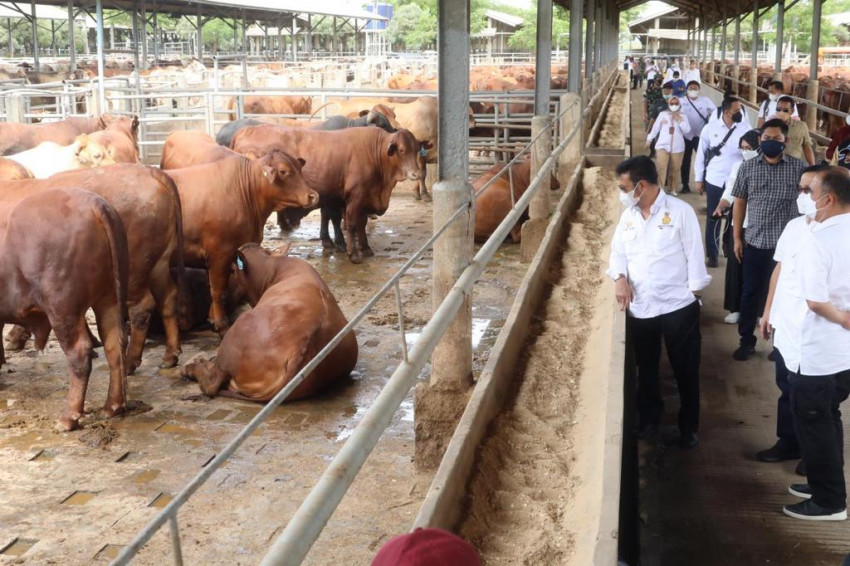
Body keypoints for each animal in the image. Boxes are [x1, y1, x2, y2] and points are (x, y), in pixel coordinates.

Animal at [3, 165, 183, 372]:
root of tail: (150, 171)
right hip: (157, 264)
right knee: (168, 297)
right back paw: (170, 355)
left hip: (132, 269)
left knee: (142, 307)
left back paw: (130, 361)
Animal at [164, 153, 316, 336]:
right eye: (283, 171)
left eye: (300, 168)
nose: (313, 195)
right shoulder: (220, 253)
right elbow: (218, 291)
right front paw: (221, 325)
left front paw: (212, 319)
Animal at [182, 242, 358, 402]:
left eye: (233, 270)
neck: (273, 267)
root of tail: (302, 342)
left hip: (235, 335)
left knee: (212, 383)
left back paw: (192, 367)